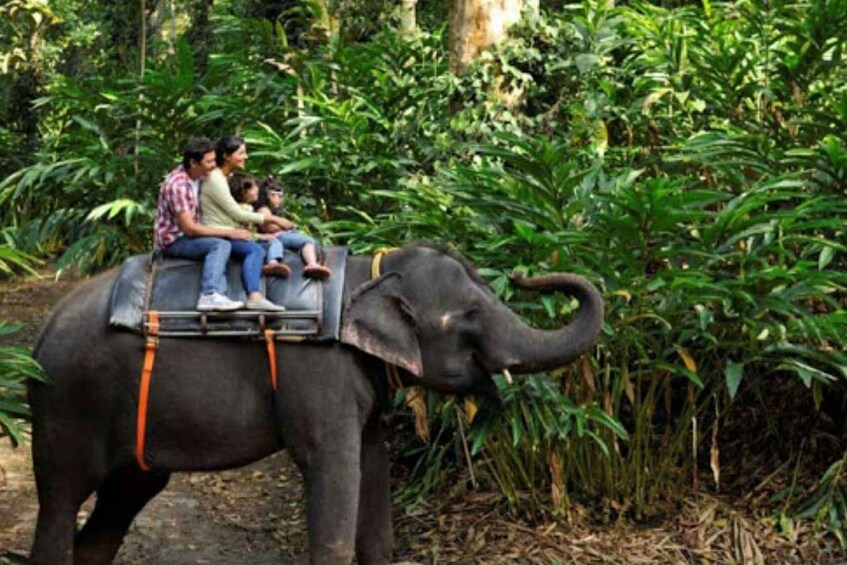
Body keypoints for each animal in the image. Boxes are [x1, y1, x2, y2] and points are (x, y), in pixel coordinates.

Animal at [28, 243, 603, 564]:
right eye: (468, 314)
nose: (528, 273)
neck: (368, 274)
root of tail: (41, 334)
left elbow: (372, 467)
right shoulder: (317, 372)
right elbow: (333, 469)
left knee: (120, 504)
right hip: (66, 404)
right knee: (59, 503)